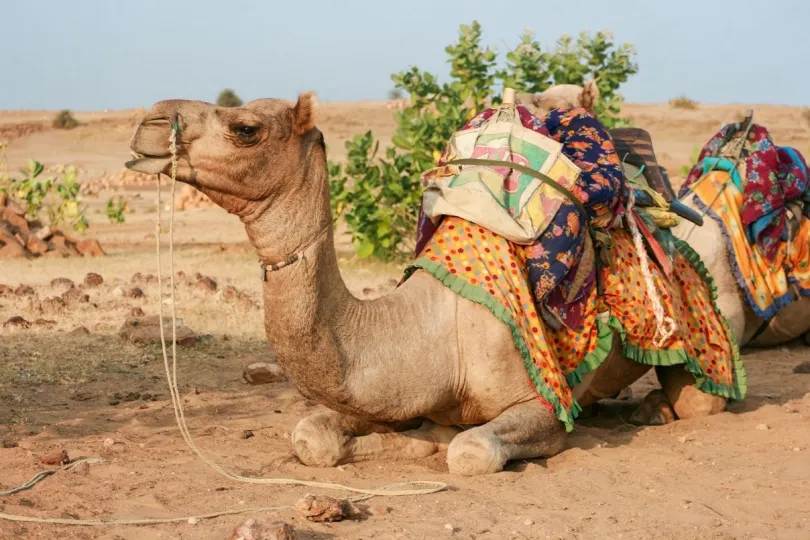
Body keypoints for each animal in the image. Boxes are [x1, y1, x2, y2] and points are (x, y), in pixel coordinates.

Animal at [124, 90, 732, 474]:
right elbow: (311, 438)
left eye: (245, 129)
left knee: (700, 400)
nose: (150, 120)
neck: (434, 330)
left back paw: (654, 410)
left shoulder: (543, 406)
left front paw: (430, 444)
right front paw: (408, 443)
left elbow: (469, 451)